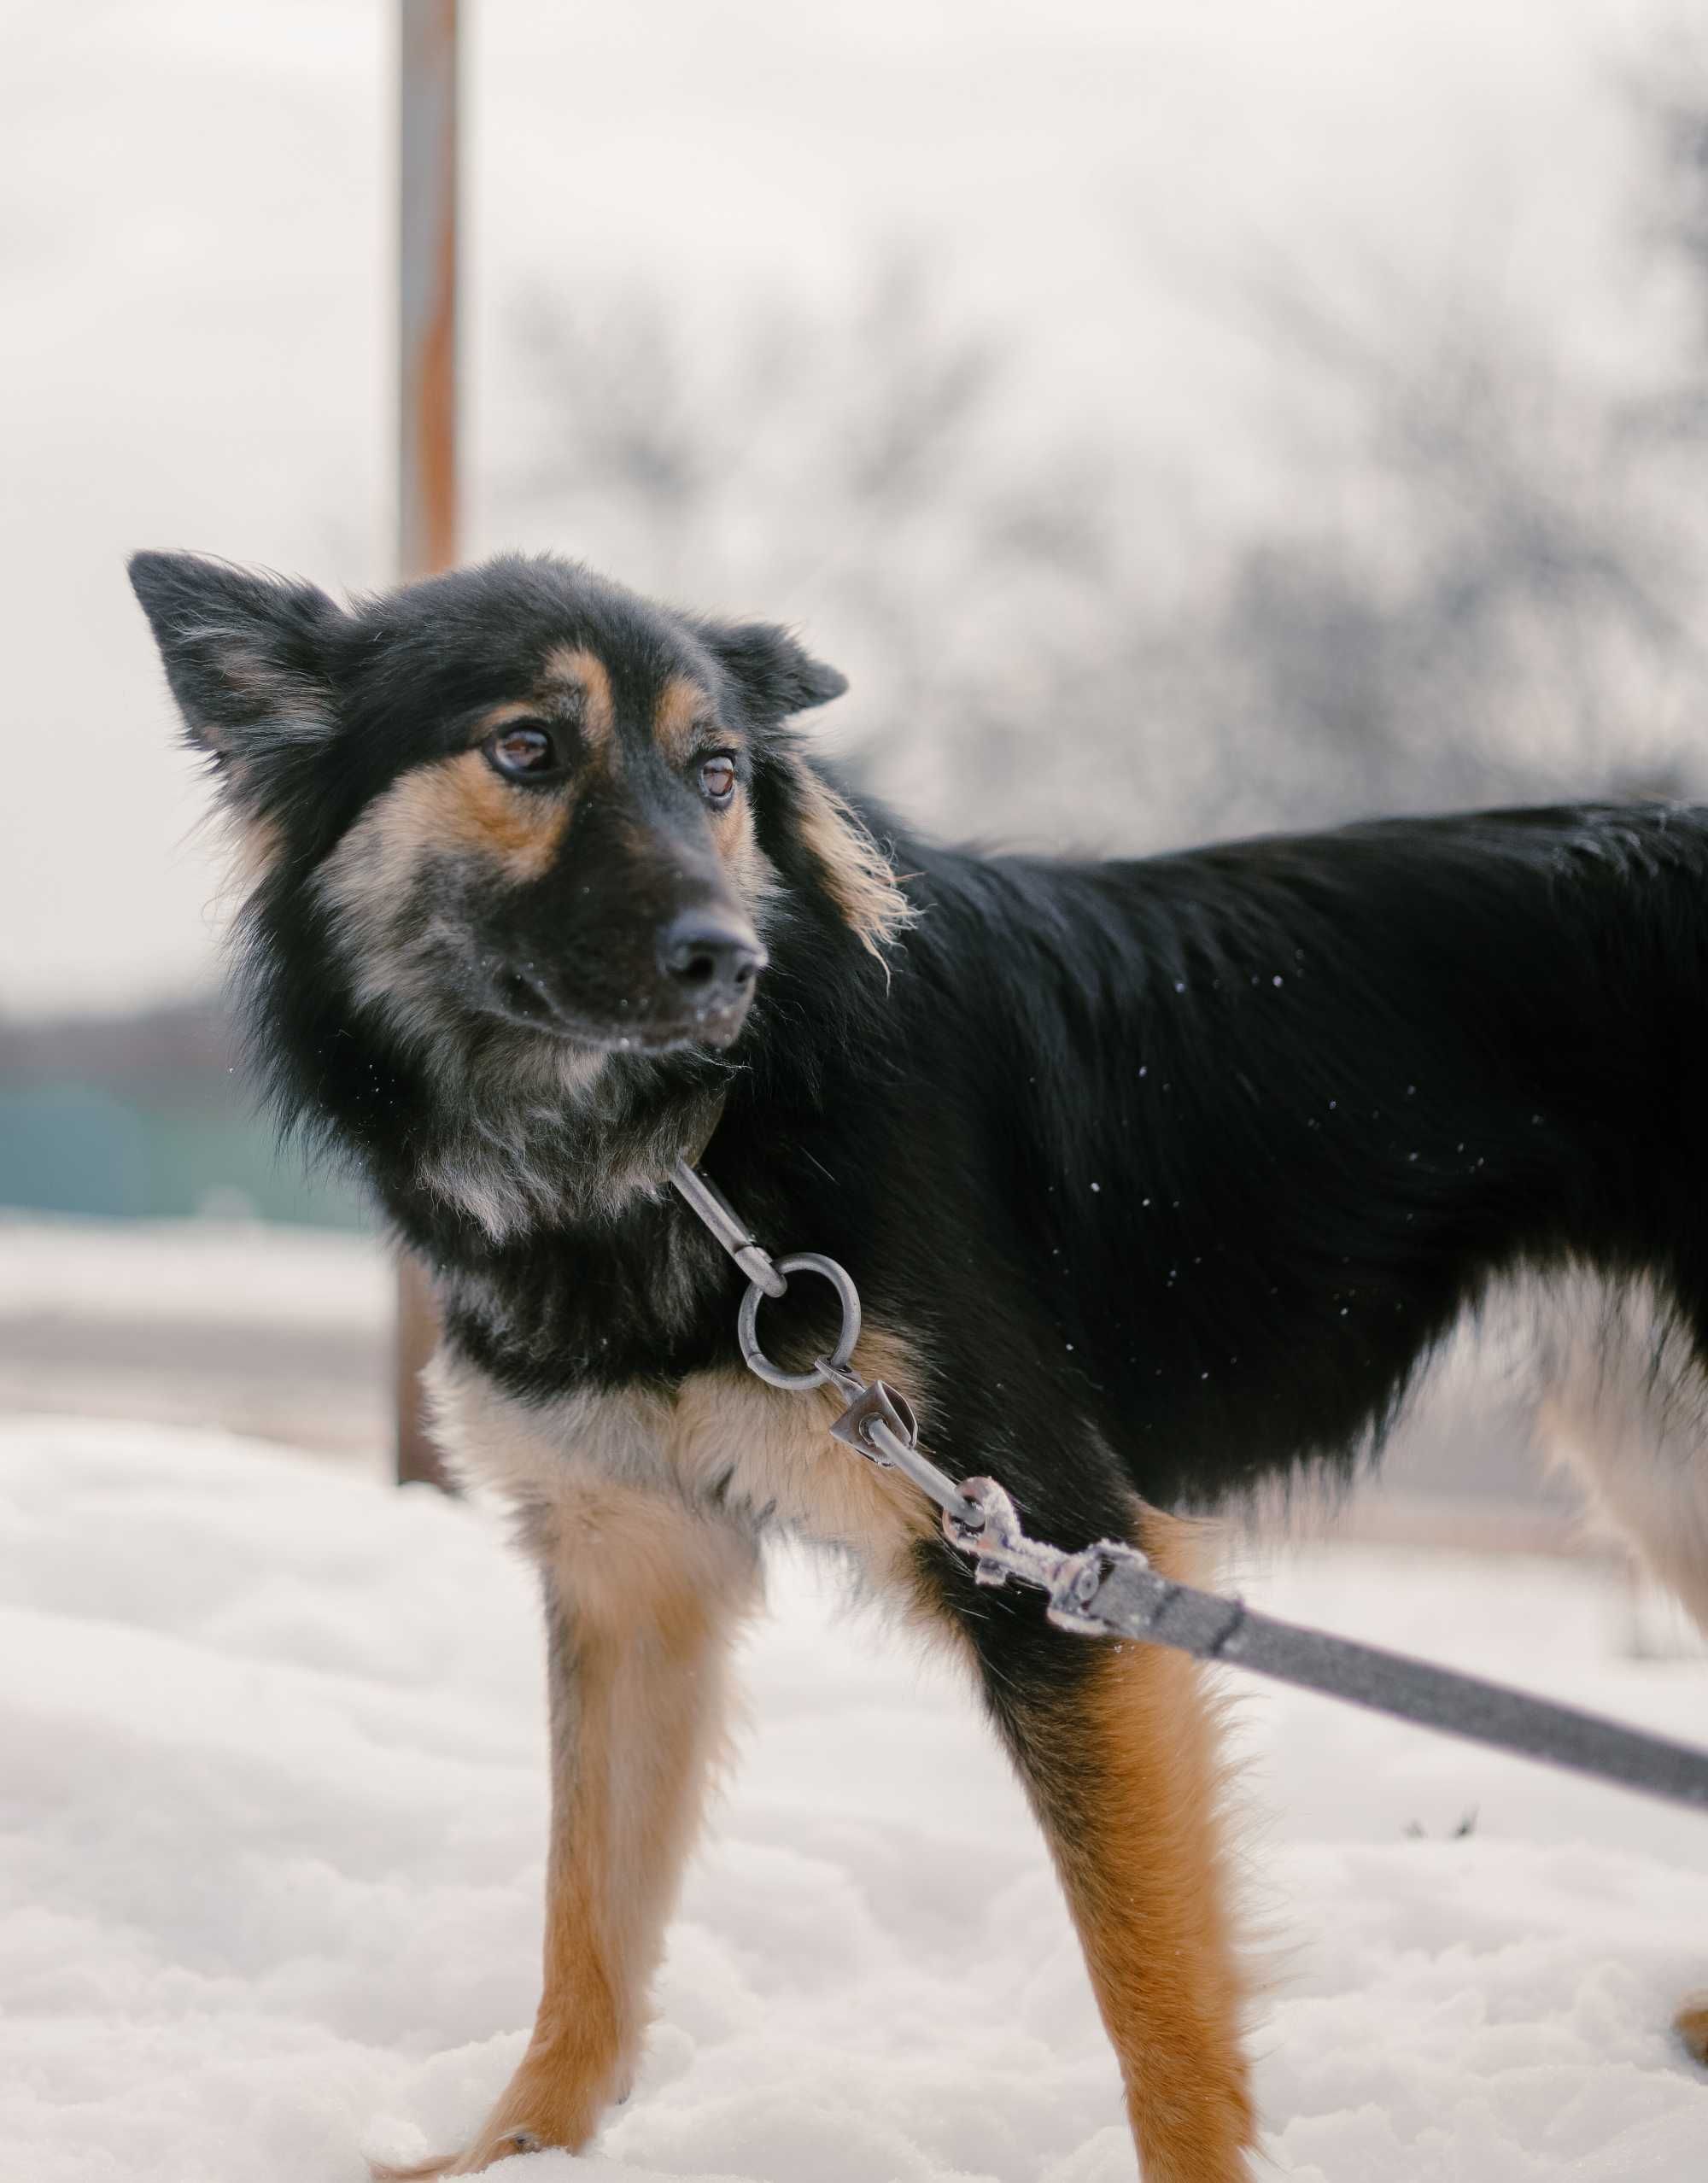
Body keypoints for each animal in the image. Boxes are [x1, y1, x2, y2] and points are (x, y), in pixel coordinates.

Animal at [126, 541, 1708, 2165]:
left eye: (715, 772)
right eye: (526, 748)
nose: (728, 960)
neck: (692, 1153)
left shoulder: (1061, 1563)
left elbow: (1158, 2008)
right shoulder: (628, 1563)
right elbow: (587, 1922)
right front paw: (516, 2157)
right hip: (1664, 1460)